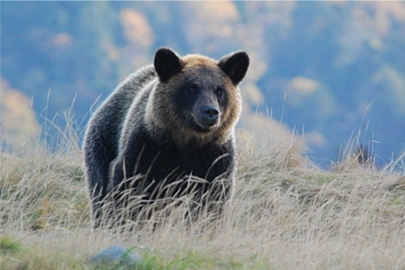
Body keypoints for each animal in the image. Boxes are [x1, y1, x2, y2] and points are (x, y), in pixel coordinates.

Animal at [82, 47, 248, 227]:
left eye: (219, 89)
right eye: (192, 88)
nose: (210, 111)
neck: (187, 141)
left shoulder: (215, 156)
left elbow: (212, 198)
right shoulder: (146, 147)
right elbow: (127, 187)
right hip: (103, 141)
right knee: (99, 189)